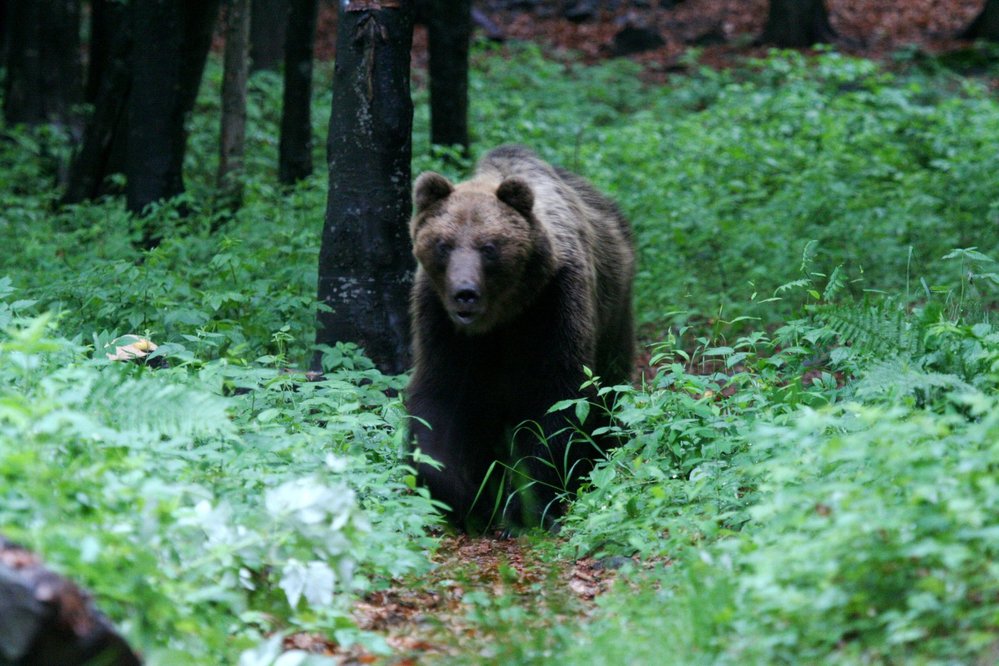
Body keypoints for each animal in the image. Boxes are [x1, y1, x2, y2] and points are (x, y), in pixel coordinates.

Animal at [404, 145, 632, 528]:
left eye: (489, 247)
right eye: (443, 245)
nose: (465, 294)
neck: (502, 319)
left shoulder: (554, 307)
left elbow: (559, 402)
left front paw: (524, 507)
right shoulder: (442, 324)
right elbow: (439, 404)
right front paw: (472, 500)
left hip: (614, 315)